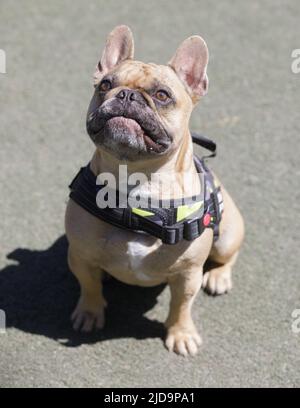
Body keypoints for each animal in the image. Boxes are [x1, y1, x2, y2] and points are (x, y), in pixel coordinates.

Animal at [65, 26, 244, 356]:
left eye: (162, 95)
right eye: (106, 85)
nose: (127, 94)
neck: (139, 191)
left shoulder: (188, 274)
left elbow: (181, 305)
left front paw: (181, 334)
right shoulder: (79, 256)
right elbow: (89, 285)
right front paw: (89, 312)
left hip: (227, 236)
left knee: (228, 254)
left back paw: (219, 277)